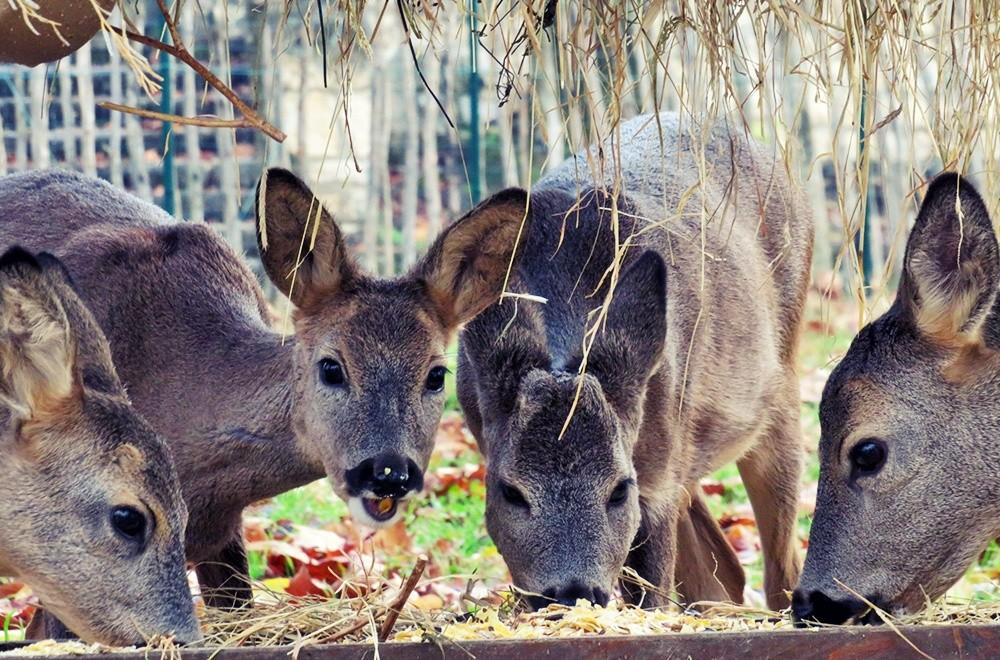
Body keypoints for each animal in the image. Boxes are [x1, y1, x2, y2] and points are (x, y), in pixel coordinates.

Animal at [458, 112, 816, 608]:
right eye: (508, 491)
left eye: (618, 490)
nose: (572, 592)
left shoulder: (656, 479)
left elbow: (653, 589)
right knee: (723, 571)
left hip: (779, 395)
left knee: (780, 565)